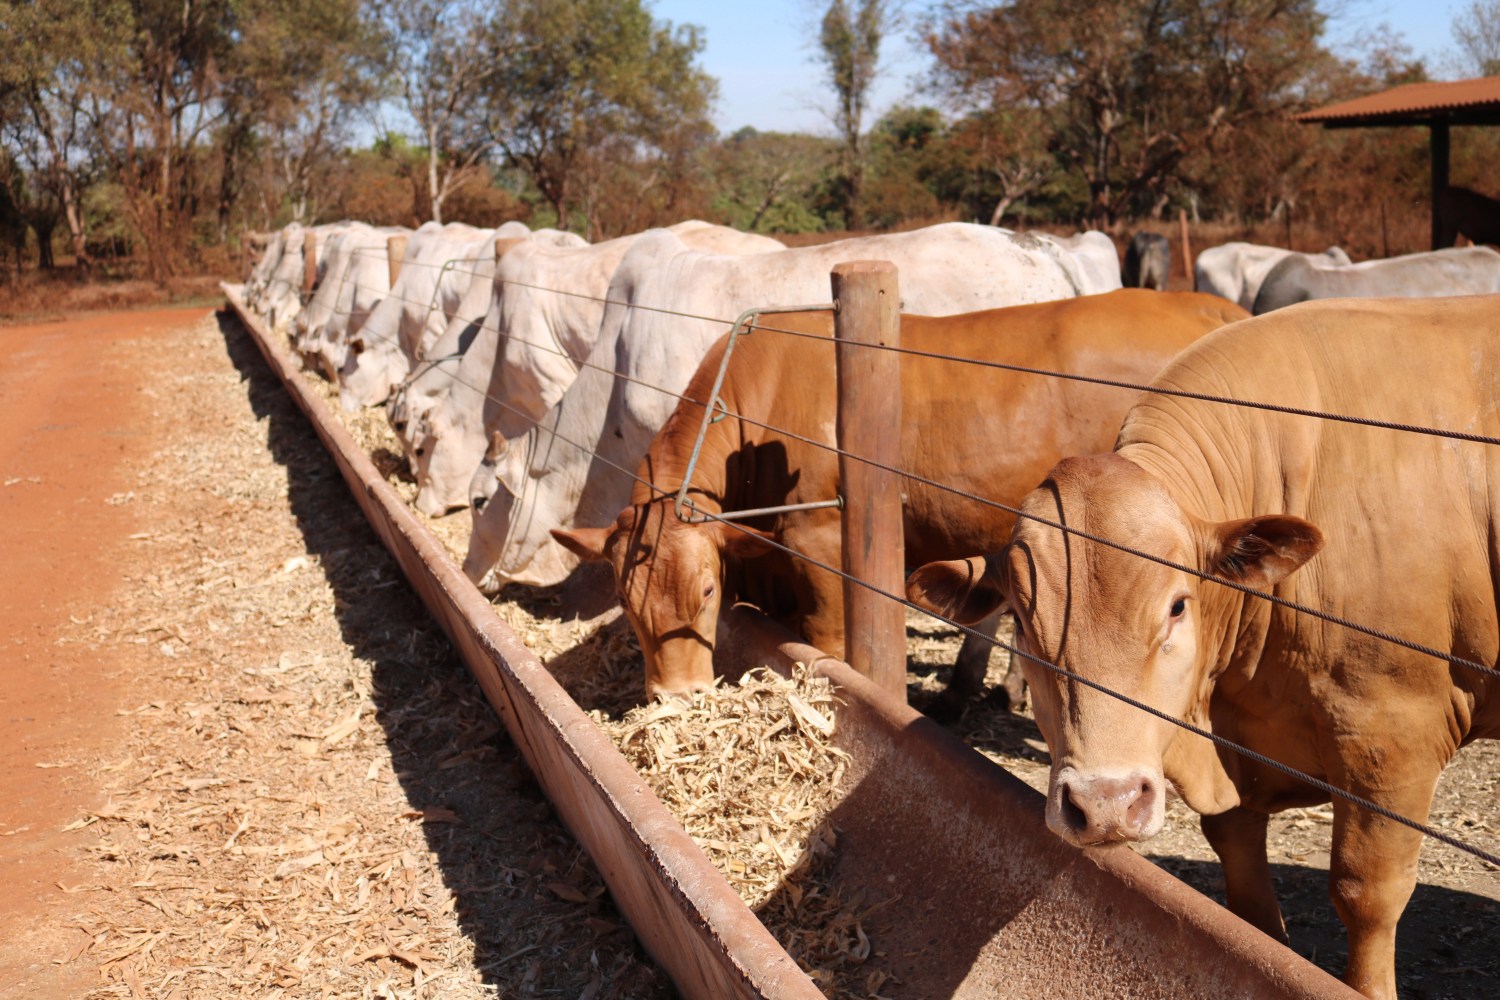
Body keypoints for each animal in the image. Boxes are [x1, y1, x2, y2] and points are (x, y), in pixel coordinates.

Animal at [549, 289, 1242, 710]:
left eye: (707, 591)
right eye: (625, 602)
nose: (678, 698)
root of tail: (1204, 306)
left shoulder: (818, 540)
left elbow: (827, 643)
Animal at [900, 296, 1500, 1000]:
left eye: (1178, 605)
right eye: (1020, 618)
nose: (1104, 805)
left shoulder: (1393, 743)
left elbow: (1368, 895)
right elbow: (1247, 911)